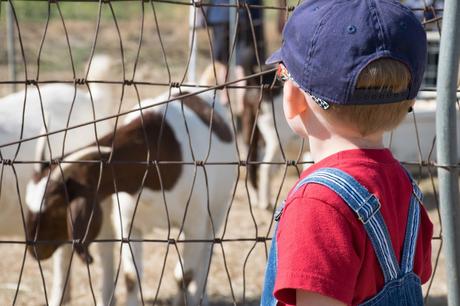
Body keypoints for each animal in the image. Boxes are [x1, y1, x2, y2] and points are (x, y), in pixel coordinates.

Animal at [25, 89, 237, 304]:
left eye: (56, 208)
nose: (34, 250)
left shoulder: (194, 226)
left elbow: (184, 276)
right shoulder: (128, 223)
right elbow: (131, 277)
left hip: (217, 212)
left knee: (207, 255)